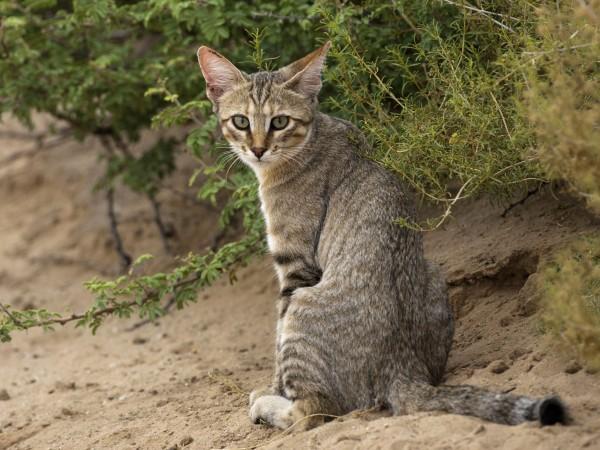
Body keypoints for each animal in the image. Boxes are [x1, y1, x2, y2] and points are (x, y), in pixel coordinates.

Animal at [197, 41, 568, 428]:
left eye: (280, 122)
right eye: (241, 121)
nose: (257, 149)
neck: (312, 138)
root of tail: (402, 368)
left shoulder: (295, 267)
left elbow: (278, 340)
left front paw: (272, 388)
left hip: (304, 305)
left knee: (312, 411)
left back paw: (268, 405)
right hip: (433, 273)